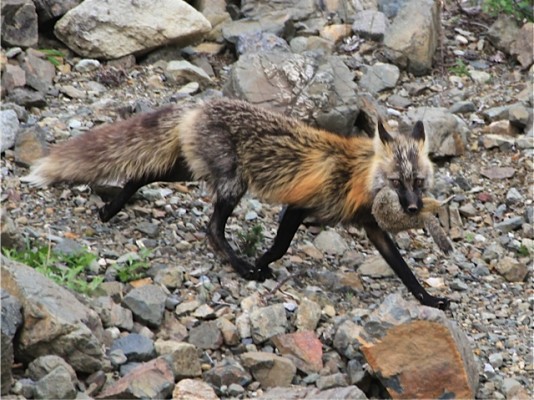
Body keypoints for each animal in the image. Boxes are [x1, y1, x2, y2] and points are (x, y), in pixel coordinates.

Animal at [23, 97, 450, 310]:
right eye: (396, 182)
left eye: (418, 183)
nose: (413, 209)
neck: (357, 178)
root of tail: (198, 106)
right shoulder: (299, 207)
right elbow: (279, 246)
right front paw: (260, 264)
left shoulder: (371, 228)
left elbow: (404, 271)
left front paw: (429, 300)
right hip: (232, 183)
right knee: (212, 227)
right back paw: (242, 267)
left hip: (190, 170)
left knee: (141, 174)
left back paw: (112, 209)